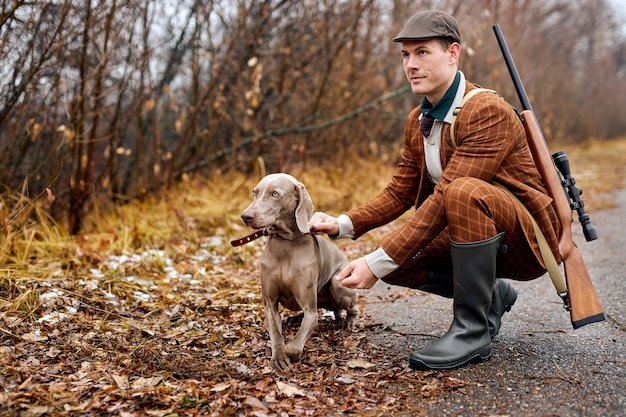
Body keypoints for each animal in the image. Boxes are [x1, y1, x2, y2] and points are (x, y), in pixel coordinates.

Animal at [238, 173, 356, 370]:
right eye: (255, 192)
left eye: (275, 194)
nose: (245, 216)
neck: (285, 242)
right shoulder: (270, 304)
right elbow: (276, 334)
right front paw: (278, 356)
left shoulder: (311, 311)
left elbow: (295, 345)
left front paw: (288, 352)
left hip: (338, 283)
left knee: (352, 308)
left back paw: (348, 322)